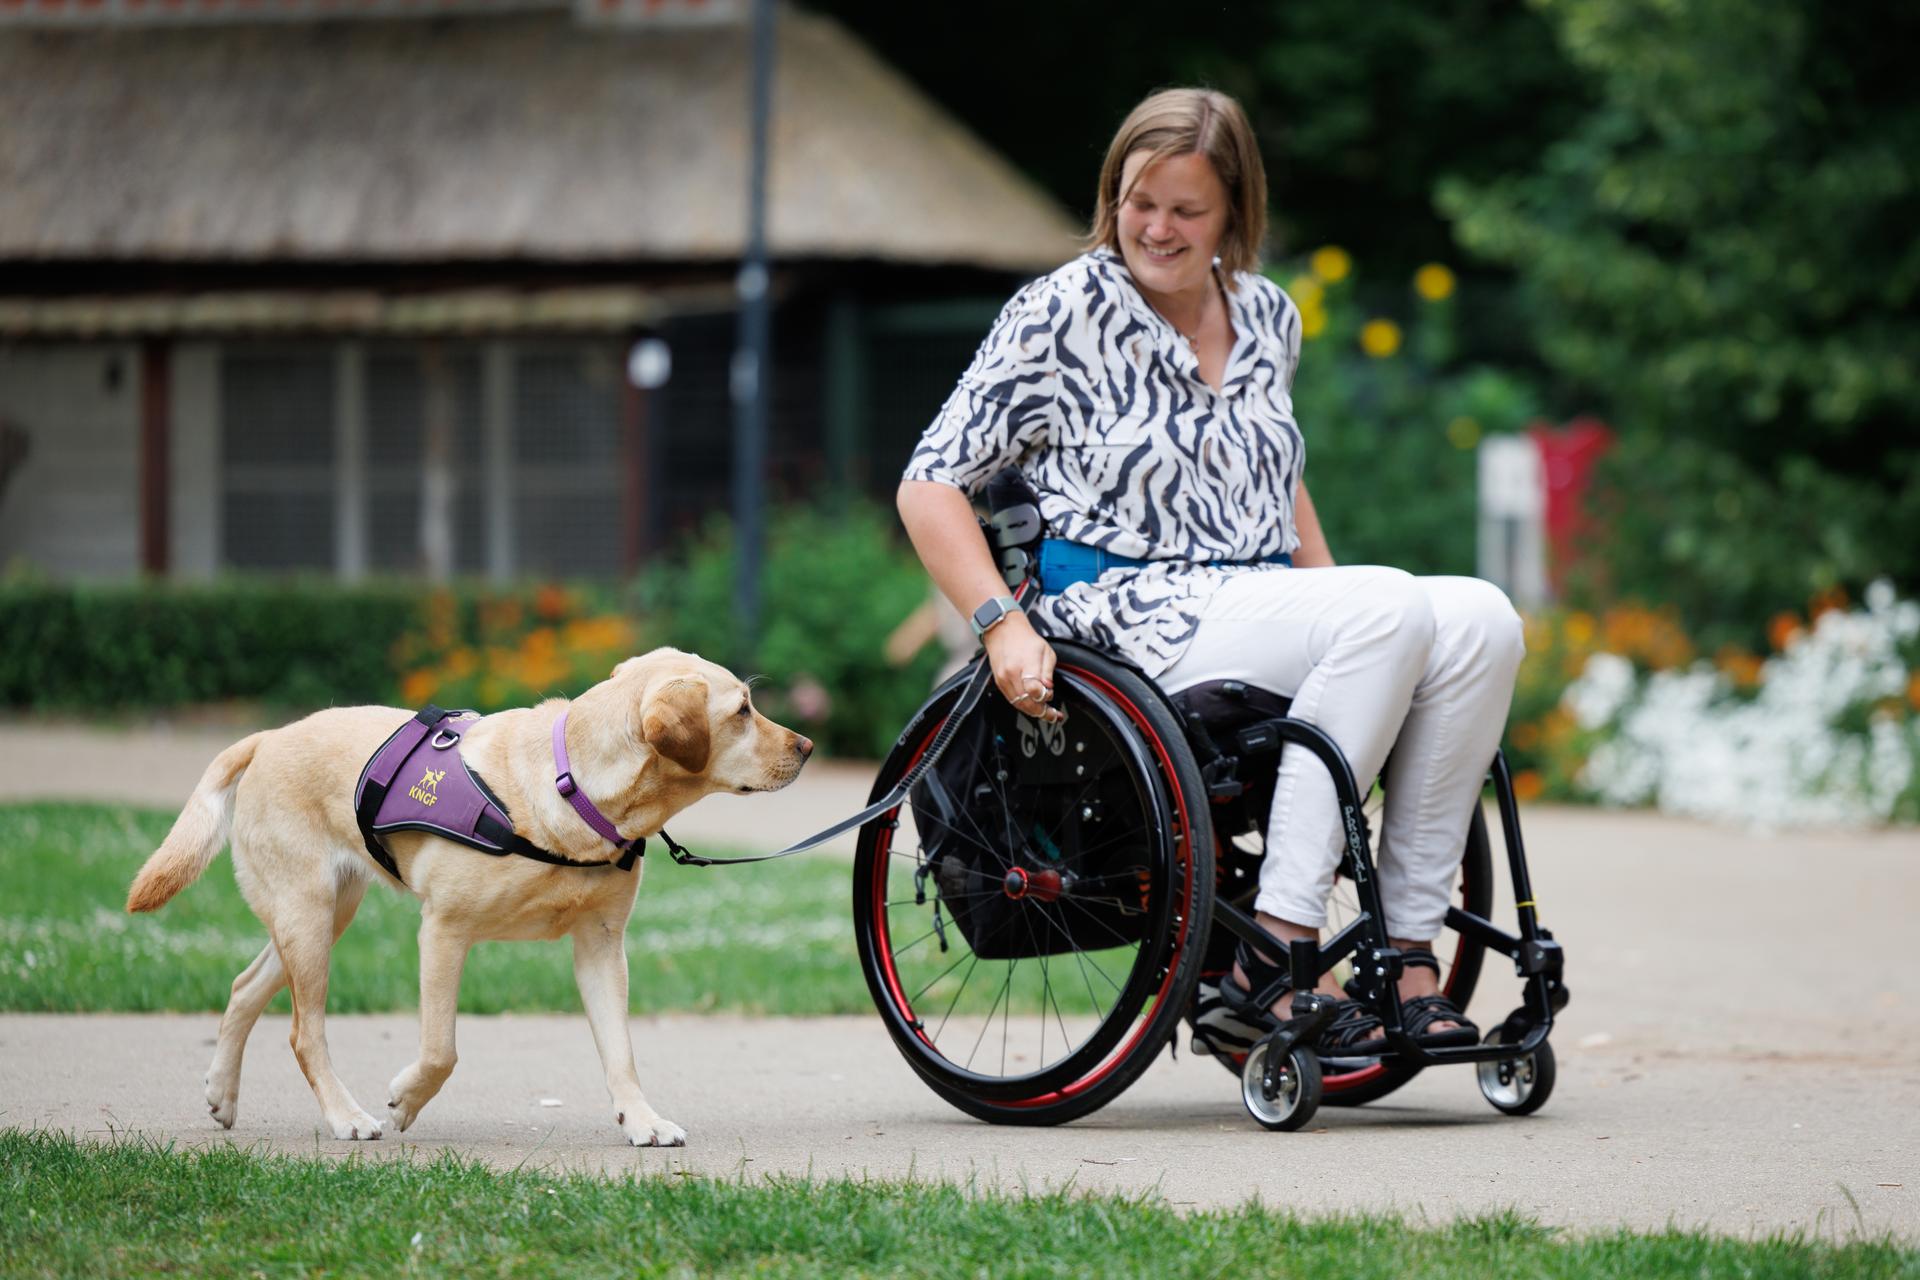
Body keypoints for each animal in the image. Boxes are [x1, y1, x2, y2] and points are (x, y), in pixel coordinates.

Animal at [120, 656, 810, 1143]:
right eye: (743, 710)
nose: (806, 747)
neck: (572, 789)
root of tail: (267, 736)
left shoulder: (601, 945)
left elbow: (621, 1051)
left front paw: (641, 1120)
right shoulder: (443, 931)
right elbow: (442, 1050)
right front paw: (405, 1100)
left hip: (323, 913)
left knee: (244, 987)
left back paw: (222, 1093)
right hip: (307, 913)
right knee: (302, 1031)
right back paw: (347, 1117)